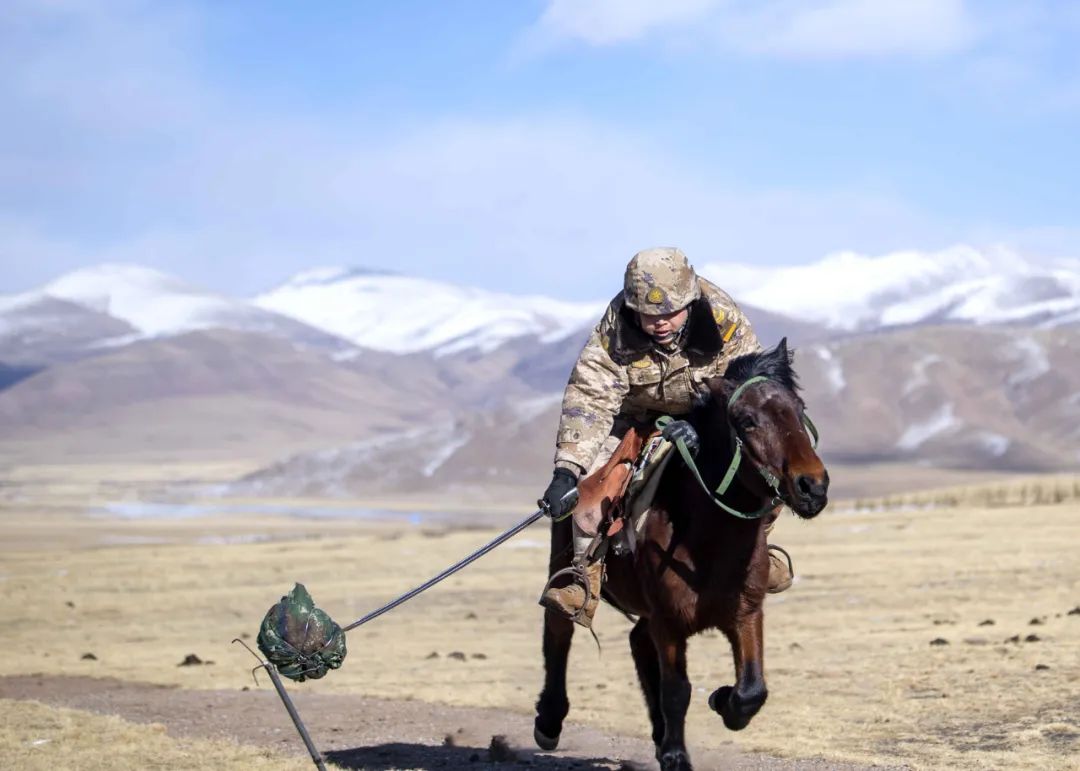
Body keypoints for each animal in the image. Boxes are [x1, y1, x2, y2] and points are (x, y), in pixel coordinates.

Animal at [531, 339, 825, 764]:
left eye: (799, 411)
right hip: (567, 567)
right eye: (747, 421)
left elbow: (752, 688)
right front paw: (675, 756)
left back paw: (657, 734)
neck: (709, 542)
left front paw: (721, 701)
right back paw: (550, 721)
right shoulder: (669, 622)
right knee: (559, 631)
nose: (812, 486)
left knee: (637, 642)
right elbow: (677, 691)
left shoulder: (746, 613)